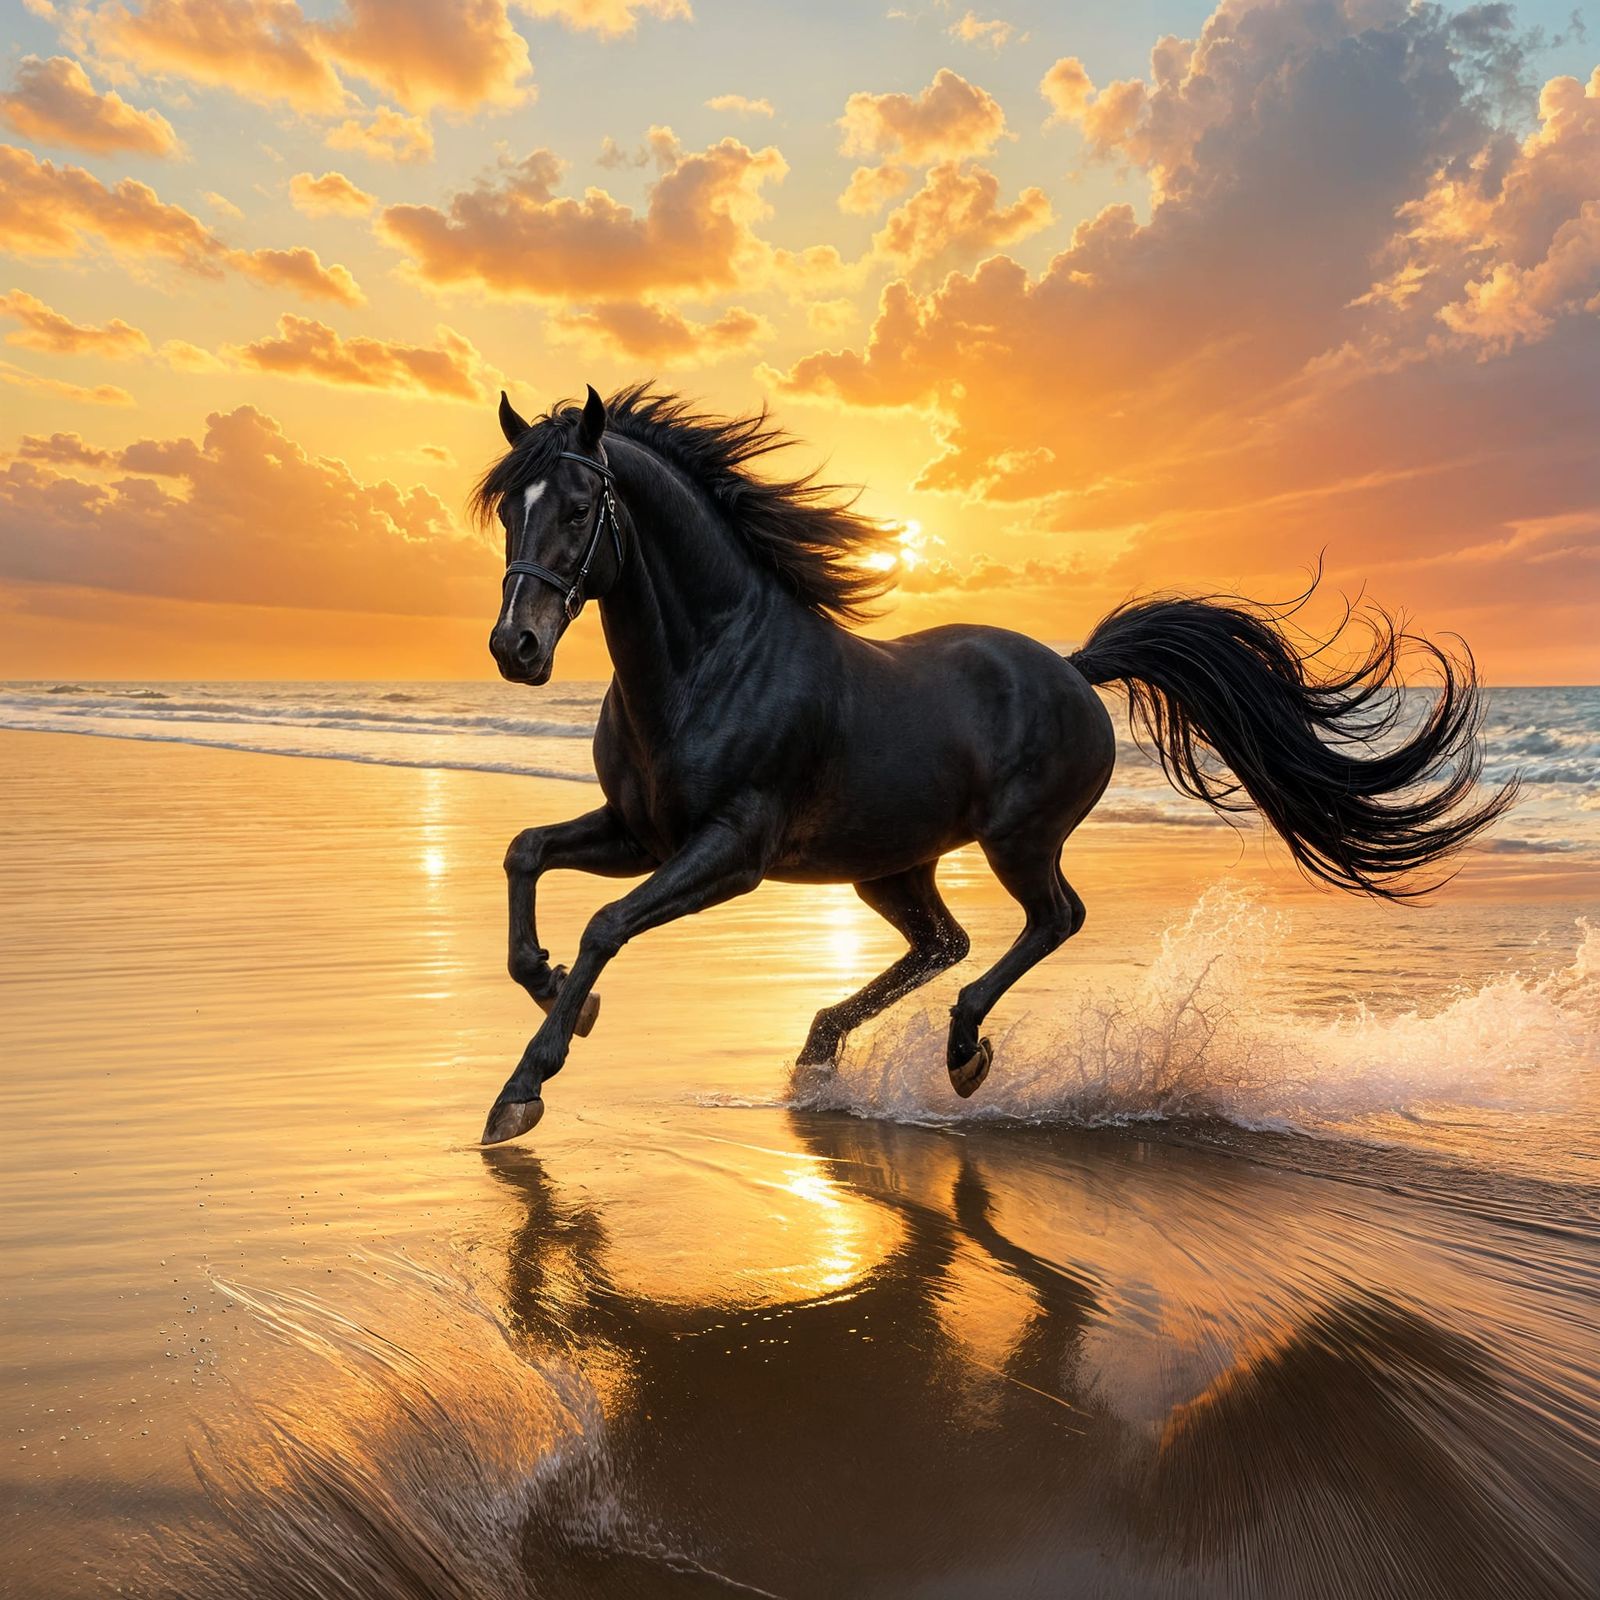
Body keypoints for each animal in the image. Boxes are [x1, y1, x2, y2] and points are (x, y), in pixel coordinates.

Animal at [475, 383, 1514, 1145]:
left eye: (579, 508)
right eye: (508, 515)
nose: (514, 648)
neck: (712, 661)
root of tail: (1074, 667)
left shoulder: (730, 852)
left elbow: (607, 923)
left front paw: (523, 1087)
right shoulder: (640, 832)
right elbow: (524, 852)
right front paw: (558, 991)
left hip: (1017, 840)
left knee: (1048, 921)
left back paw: (964, 1051)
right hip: (889, 865)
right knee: (944, 941)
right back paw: (822, 1050)